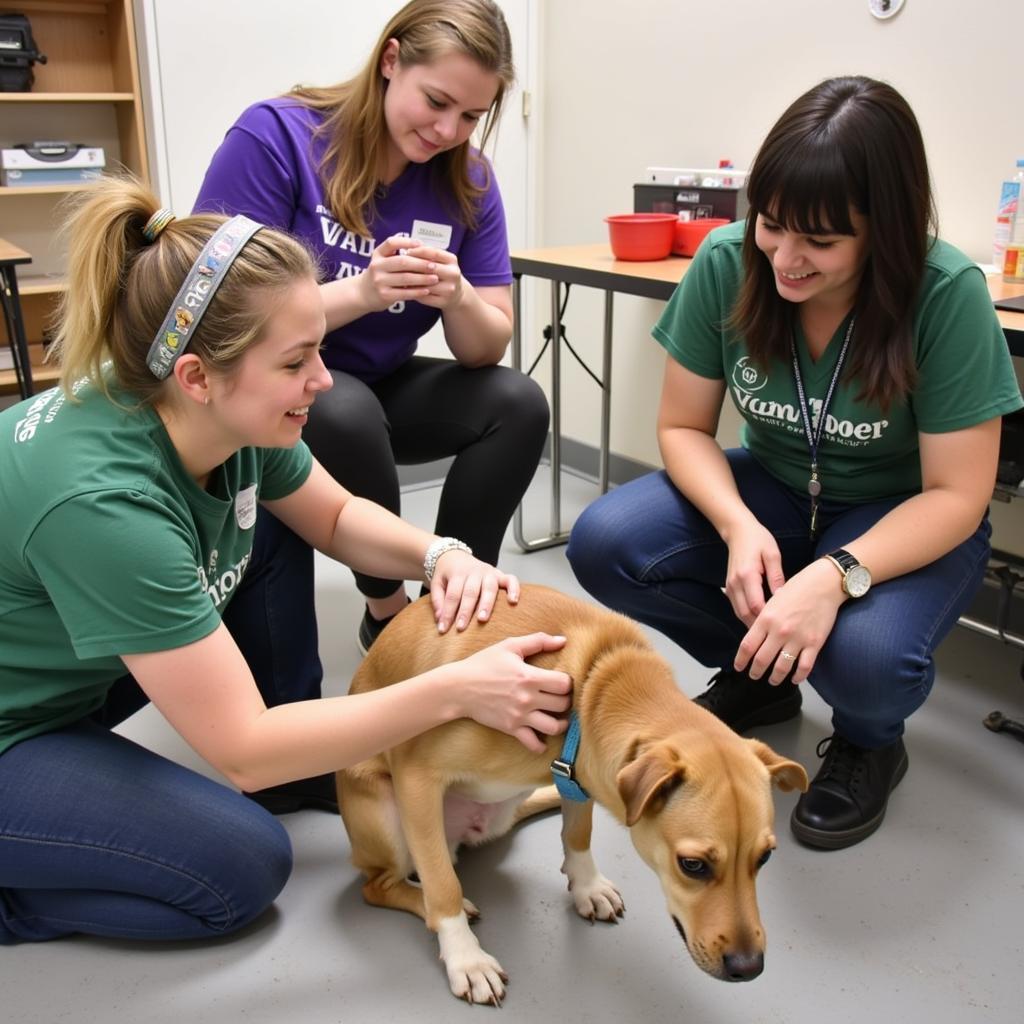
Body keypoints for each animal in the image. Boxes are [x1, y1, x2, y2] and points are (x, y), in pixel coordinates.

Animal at [335, 589, 806, 1003]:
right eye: (692, 865)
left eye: (764, 858)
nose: (749, 967)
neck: (591, 685)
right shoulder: (418, 777)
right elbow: (442, 885)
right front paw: (466, 958)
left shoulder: (575, 774)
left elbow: (578, 834)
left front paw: (587, 886)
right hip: (389, 817)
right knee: (383, 885)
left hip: (499, 814)